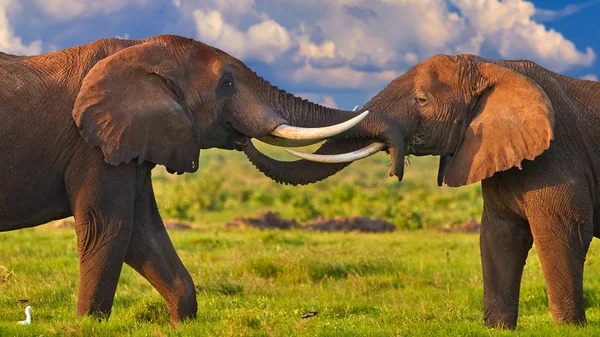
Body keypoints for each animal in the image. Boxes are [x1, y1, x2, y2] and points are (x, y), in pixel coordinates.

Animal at [0, 34, 366, 322]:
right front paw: (89, 324)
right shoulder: (92, 146)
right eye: (227, 83)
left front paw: (182, 323)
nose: (243, 139)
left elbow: (143, 232)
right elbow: (108, 227)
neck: (138, 48)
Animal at [250, 53, 600, 326]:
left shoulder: (558, 156)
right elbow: (498, 237)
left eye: (422, 100)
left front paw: (569, 327)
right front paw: (498, 328)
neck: (495, 66)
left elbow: (561, 233)